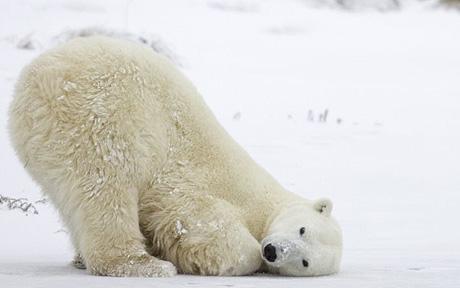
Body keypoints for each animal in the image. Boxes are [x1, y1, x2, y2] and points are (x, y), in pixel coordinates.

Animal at [8, 36, 342, 276]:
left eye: (305, 261)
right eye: (302, 229)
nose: (273, 251)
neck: (264, 206)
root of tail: (33, 82)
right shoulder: (207, 186)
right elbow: (209, 227)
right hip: (100, 117)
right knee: (108, 187)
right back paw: (143, 265)